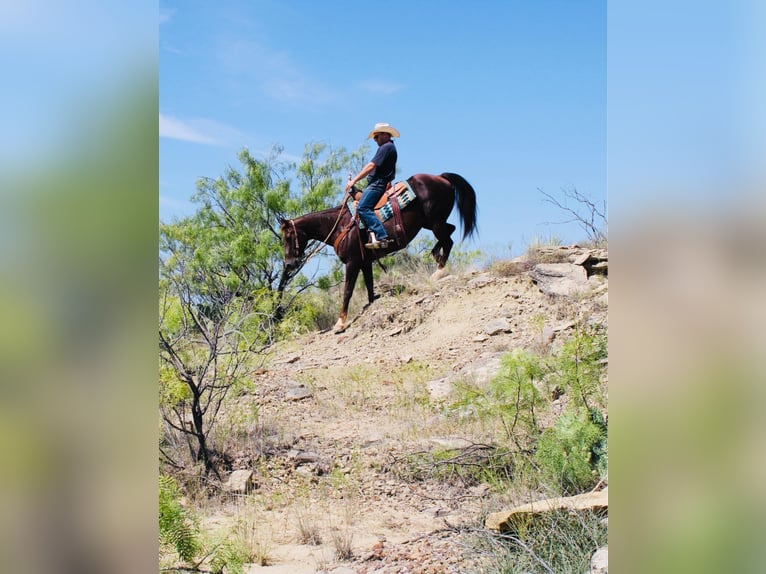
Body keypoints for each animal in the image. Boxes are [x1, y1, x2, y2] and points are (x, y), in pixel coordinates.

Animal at [280, 171, 476, 332]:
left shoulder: (352, 263)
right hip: (431, 223)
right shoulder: (365, 262)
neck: (340, 225)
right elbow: (369, 287)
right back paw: (436, 254)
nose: (289, 264)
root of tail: (441, 178)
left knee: (448, 240)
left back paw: (439, 271)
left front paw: (340, 323)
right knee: (450, 231)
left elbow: (347, 291)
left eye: (288, 237)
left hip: (435, 222)